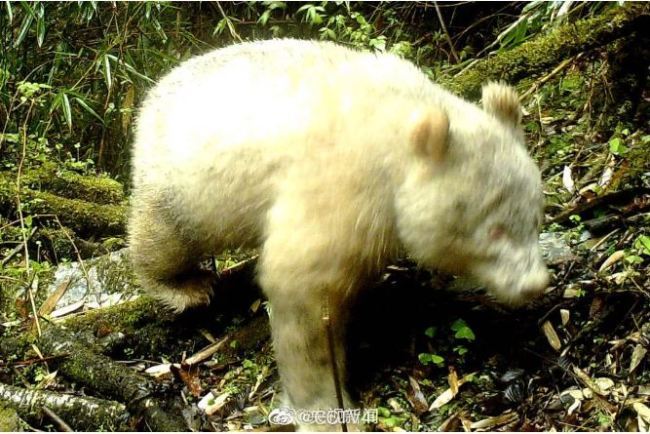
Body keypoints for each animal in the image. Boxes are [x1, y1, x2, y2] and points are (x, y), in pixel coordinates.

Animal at [128, 39, 549, 431]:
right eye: (494, 230)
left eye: (535, 218)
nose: (534, 284)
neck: (396, 131)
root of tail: (153, 93)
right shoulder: (340, 184)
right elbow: (303, 290)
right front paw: (326, 410)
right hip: (182, 180)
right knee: (165, 237)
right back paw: (184, 286)